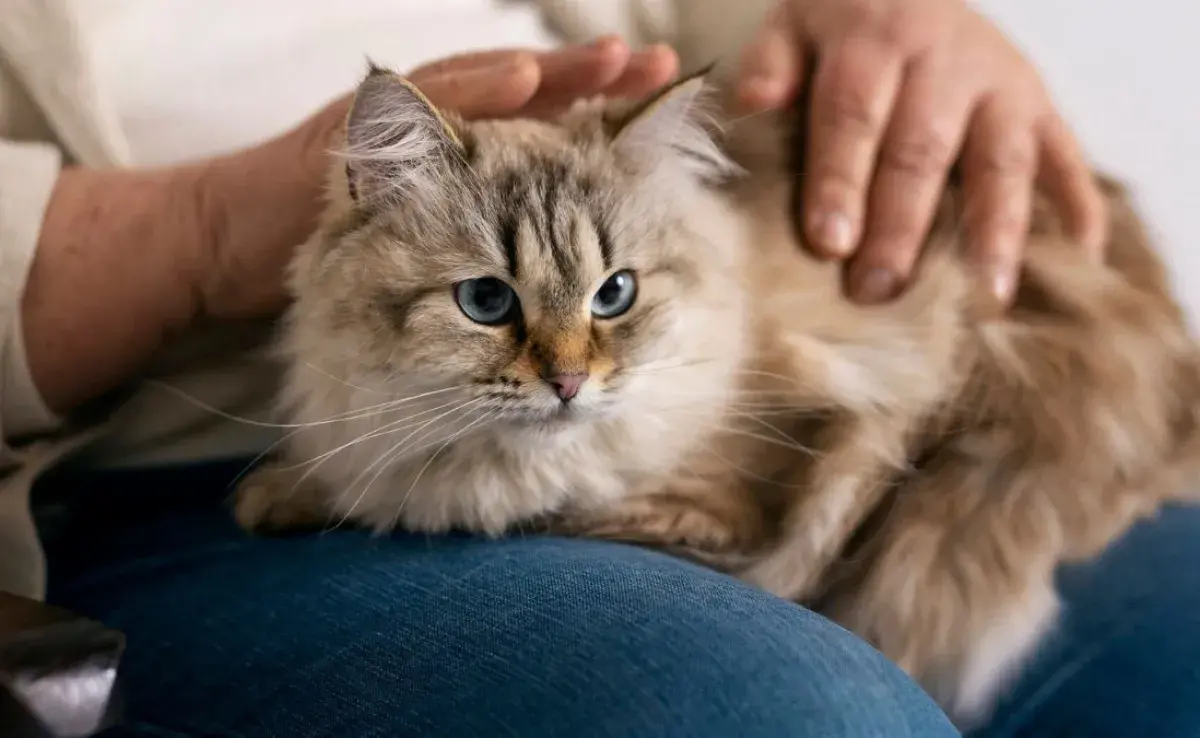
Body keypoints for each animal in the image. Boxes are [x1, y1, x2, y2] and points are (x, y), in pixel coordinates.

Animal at [231, 60, 1200, 729]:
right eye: (486, 302)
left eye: (615, 295)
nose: (569, 383)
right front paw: (280, 492)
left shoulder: (749, 494)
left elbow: (508, 504)